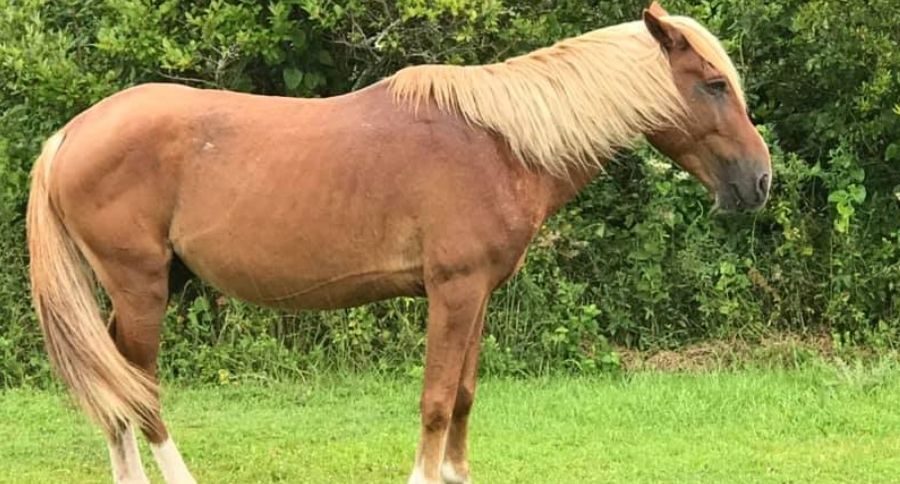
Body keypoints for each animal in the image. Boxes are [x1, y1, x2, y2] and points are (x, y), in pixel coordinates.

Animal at [26, 2, 769, 483]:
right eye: (713, 84)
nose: (760, 181)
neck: (498, 144)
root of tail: (72, 134)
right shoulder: (453, 291)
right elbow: (437, 401)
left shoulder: (477, 296)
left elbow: (464, 396)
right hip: (142, 288)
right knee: (141, 392)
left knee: (116, 390)